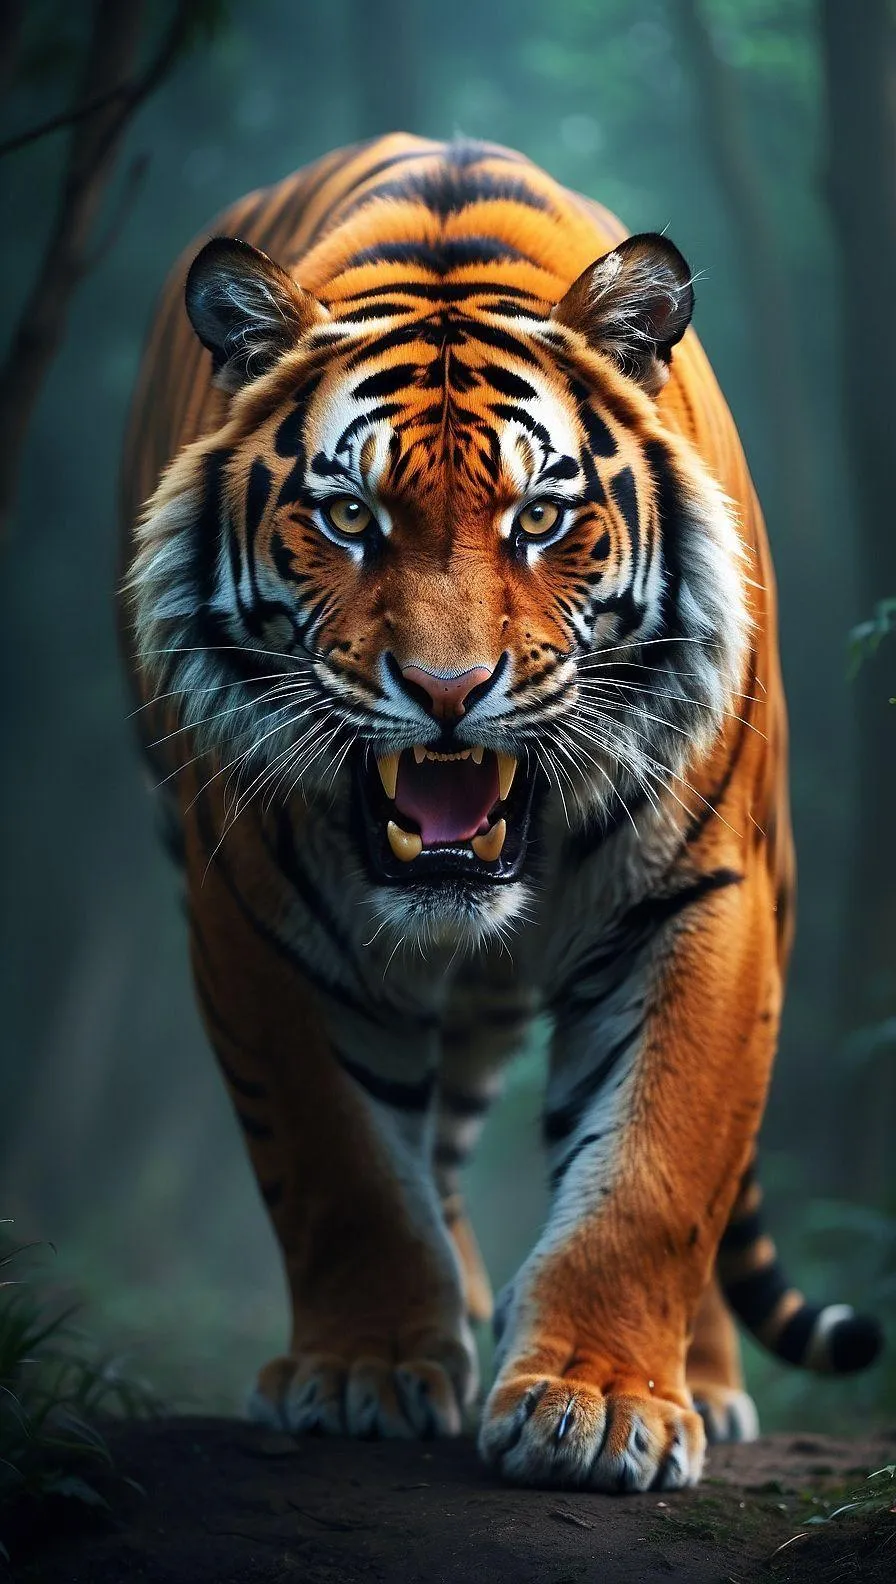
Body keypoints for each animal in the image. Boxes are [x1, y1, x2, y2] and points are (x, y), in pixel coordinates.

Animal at [120, 134, 882, 1492]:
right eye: (348, 515)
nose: (444, 690)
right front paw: (365, 1371)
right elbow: (341, 1163)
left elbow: (654, 1167)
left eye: (538, 517)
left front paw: (602, 1404)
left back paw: (701, 1383)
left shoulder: (704, 895)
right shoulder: (251, 916)